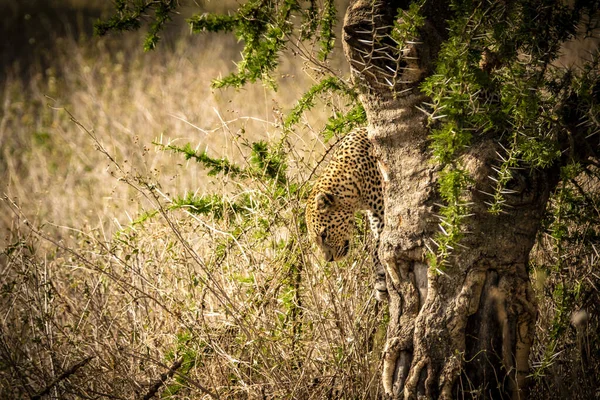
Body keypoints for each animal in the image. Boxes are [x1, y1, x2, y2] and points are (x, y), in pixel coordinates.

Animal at [304, 127, 390, 300]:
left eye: (324, 235)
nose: (329, 260)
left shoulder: (384, 211)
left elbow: (378, 246)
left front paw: (379, 280)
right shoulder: (376, 216)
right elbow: (378, 240)